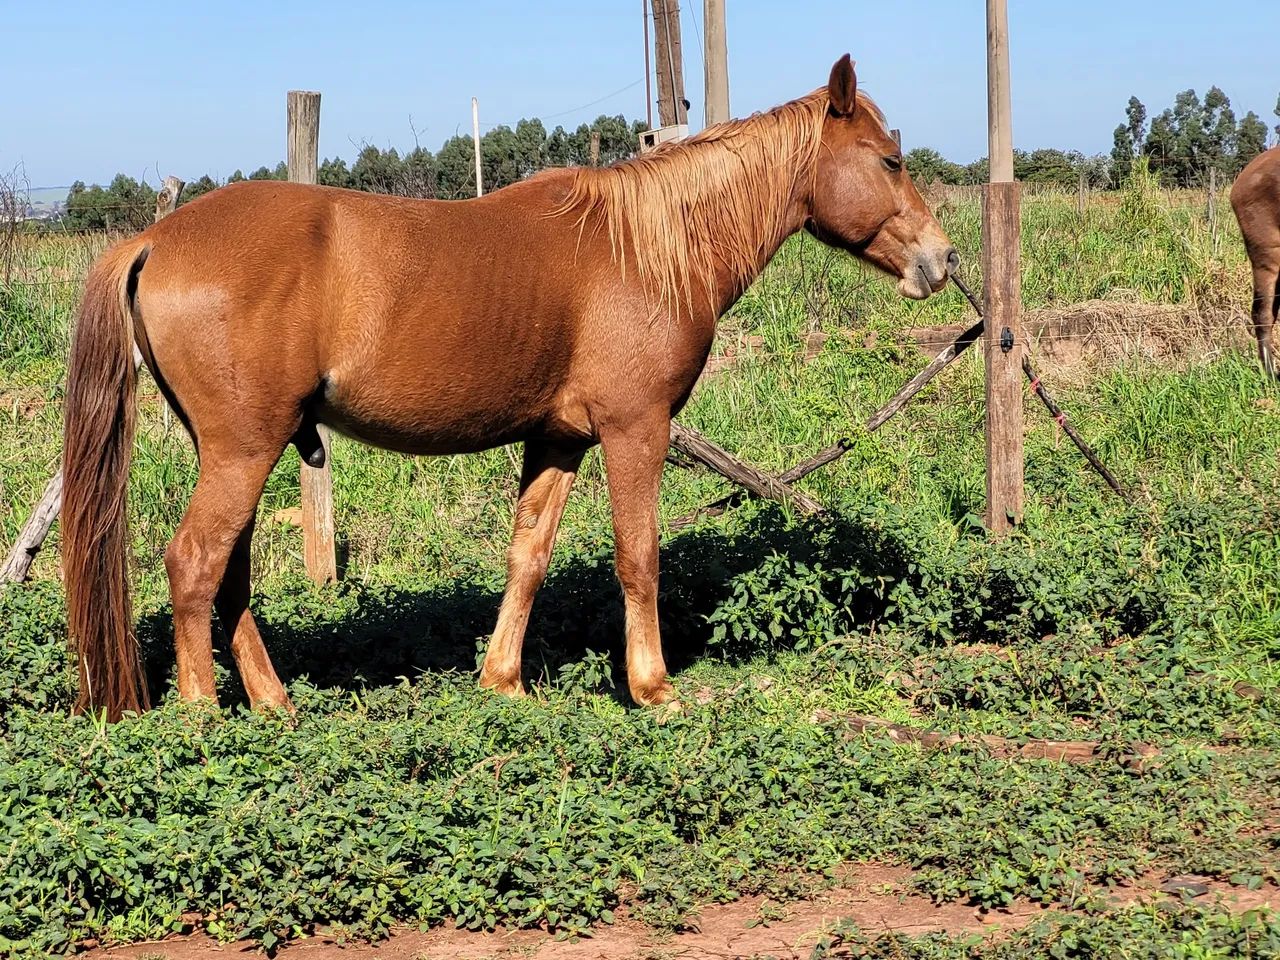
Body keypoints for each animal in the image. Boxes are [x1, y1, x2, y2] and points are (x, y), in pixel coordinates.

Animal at [62, 55, 956, 721]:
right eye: (889, 160)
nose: (942, 260)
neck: (641, 248)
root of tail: (154, 237)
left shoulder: (559, 438)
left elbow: (528, 554)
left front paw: (503, 681)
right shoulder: (636, 429)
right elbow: (638, 555)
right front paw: (653, 688)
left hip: (245, 448)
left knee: (230, 574)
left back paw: (274, 702)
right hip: (242, 449)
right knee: (194, 563)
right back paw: (203, 718)